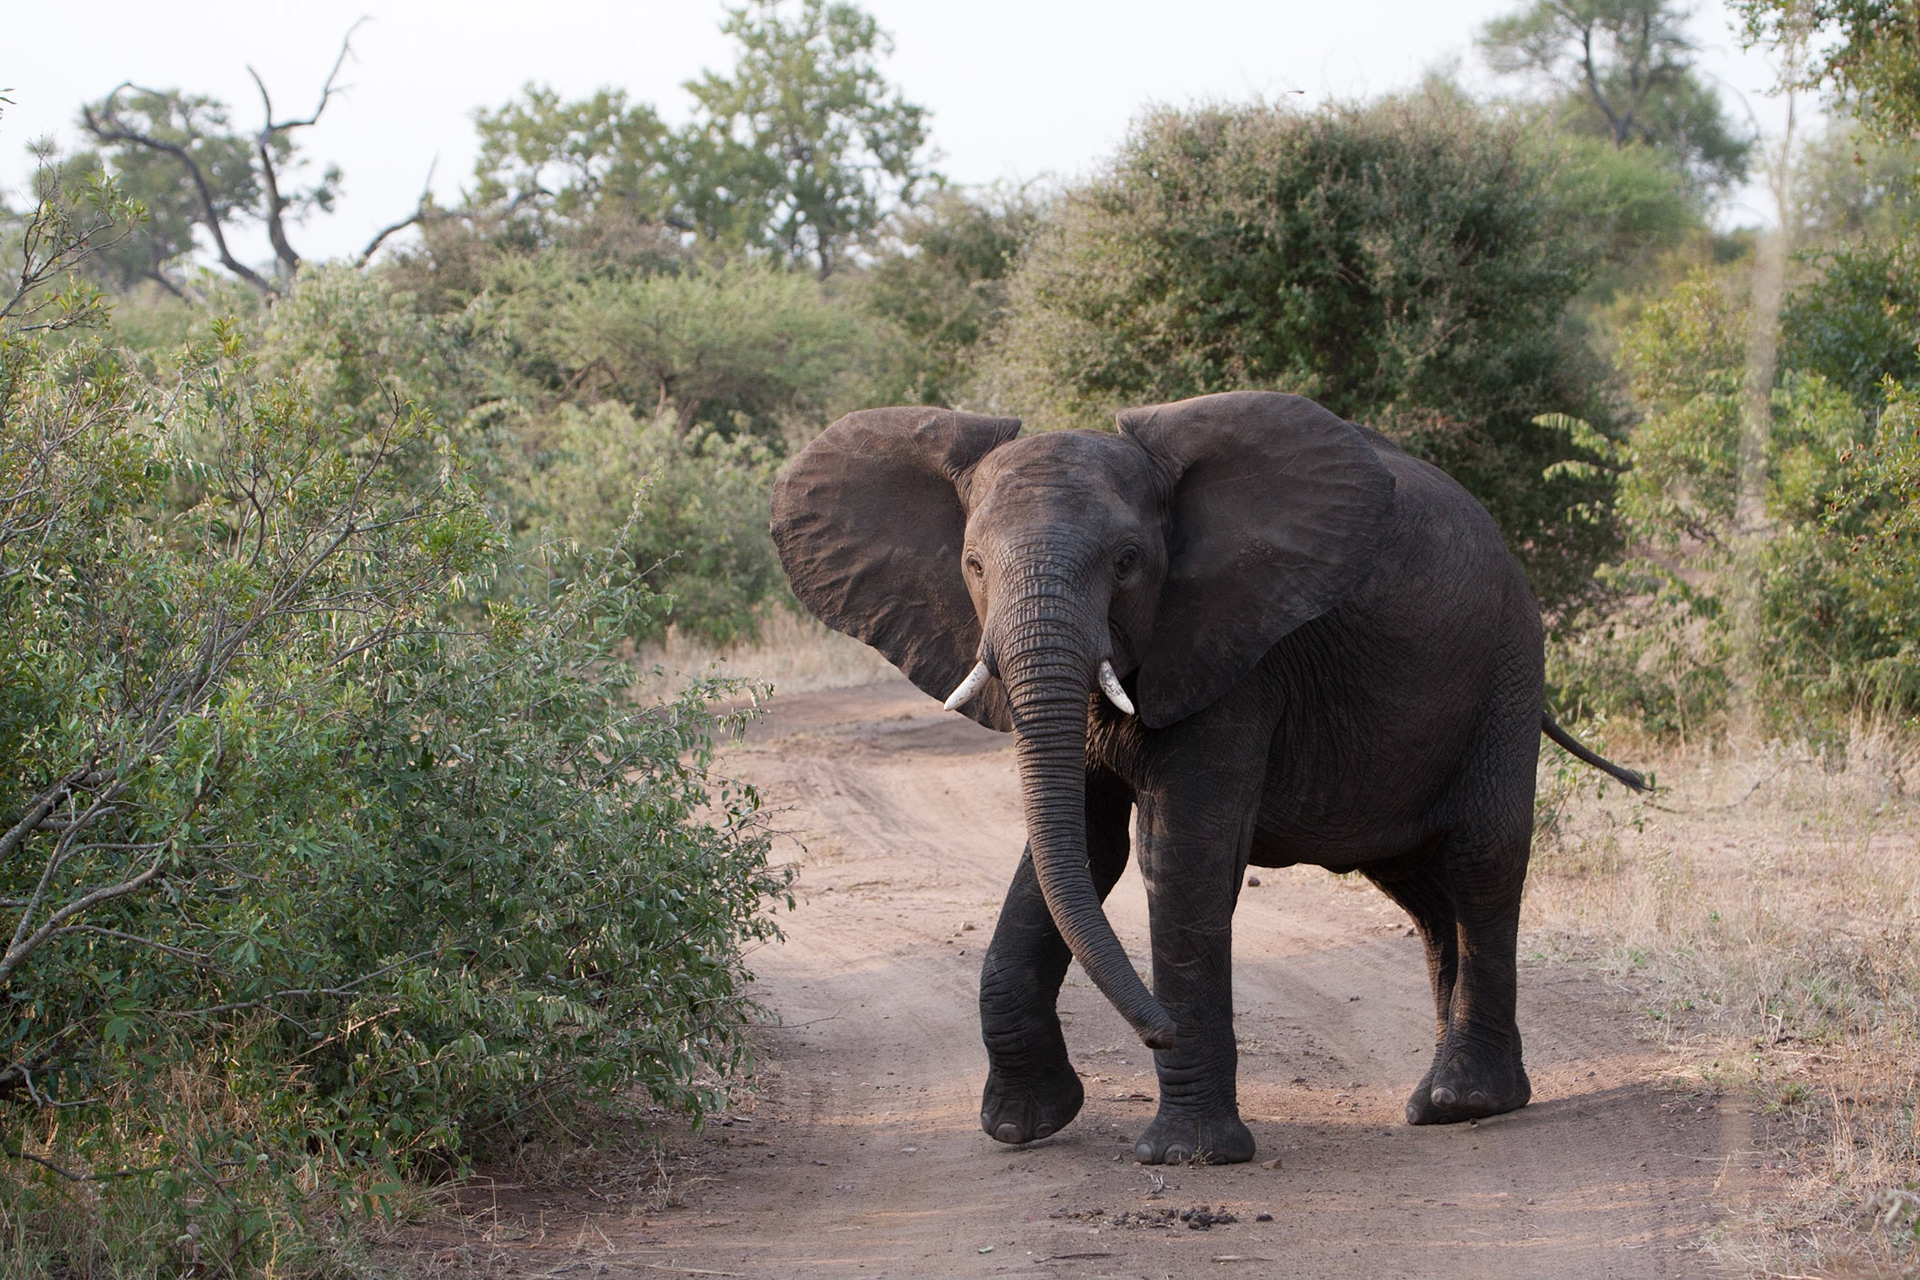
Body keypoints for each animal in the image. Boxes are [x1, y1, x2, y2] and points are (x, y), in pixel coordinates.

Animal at [769, 390, 1645, 1166]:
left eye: (1128, 564)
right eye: (974, 565)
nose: (1154, 1028)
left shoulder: (1240, 654)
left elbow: (1180, 854)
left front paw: (1188, 1156)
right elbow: (1078, 848)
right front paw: (1023, 1127)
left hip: (1507, 663)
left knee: (1481, 860)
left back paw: (1465, 1102)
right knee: (1427, 894)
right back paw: (1457, 1098)